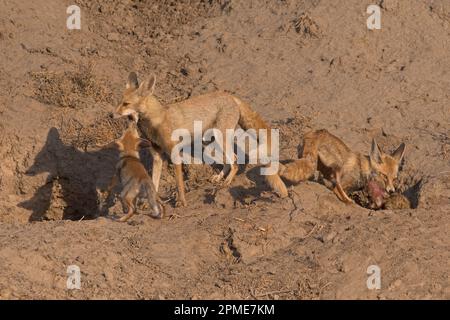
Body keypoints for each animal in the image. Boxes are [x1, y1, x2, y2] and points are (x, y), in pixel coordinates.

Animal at [114, 72, 286, 206]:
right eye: (119, 102)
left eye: (126, 104)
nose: (111, 114)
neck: (156, 121)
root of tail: (229, 95)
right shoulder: (157, 156)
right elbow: (154, 183)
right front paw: (151, 203)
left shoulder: (174, 154)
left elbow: (179, 184)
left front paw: (181, 202)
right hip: (211, 143)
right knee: (228, 161)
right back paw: (219, 177)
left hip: (220, 138)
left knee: (236, 161)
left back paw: (227, 182)